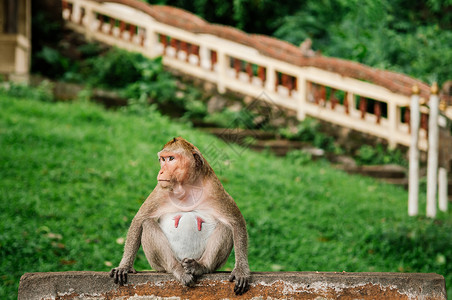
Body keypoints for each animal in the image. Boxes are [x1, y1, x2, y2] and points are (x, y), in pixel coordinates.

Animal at [109, 137, 251, 294]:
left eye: (171, 158)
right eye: (162, 159)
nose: (161, 171)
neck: (187, 187)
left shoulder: (215, 189)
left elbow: (236, 222)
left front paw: (241, 271)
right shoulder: (161, 189)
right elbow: (139, 220)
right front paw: (124, 267)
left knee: (226, 226)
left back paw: (200, 266)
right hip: (159, 266)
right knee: (148, 224)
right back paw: (177, 269)